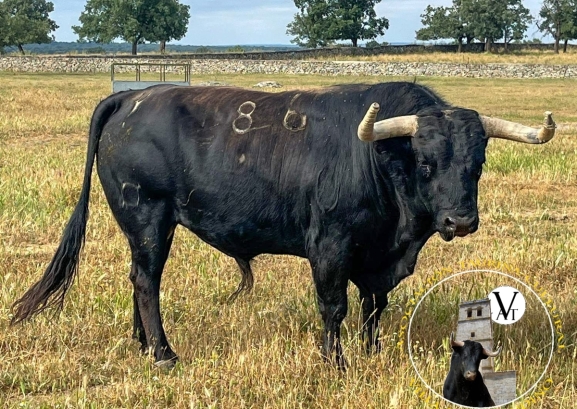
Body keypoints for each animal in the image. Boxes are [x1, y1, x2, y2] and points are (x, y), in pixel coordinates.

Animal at [11, 82, 555, 369]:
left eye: (478, 162)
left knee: (138, 278)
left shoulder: (378, 260)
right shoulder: (331, 246)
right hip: (148, 216)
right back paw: (164, 353)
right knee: (147, 280)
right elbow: (334, 306)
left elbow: (374, 307)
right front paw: (335, 362)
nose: (460, 220)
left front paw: (372, 353)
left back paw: (143, 345)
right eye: (424, 163)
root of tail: (131, 96)